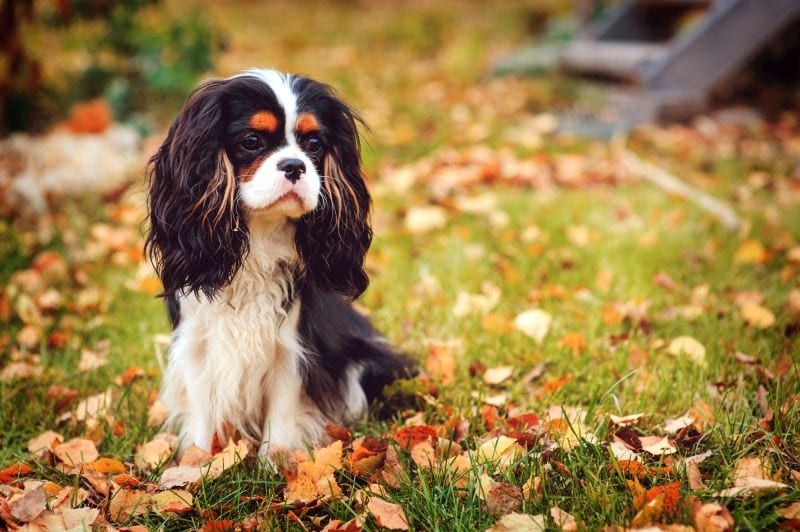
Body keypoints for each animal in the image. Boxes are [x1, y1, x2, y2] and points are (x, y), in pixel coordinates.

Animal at [145, 68, 416, 454]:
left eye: (314, 144)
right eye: (251, 141)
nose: (294, 165)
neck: (258, 238)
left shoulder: (292, 347)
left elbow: (282, 414)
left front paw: (278, 463)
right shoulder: (197, 343)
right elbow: (201, 415)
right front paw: (196, 461)